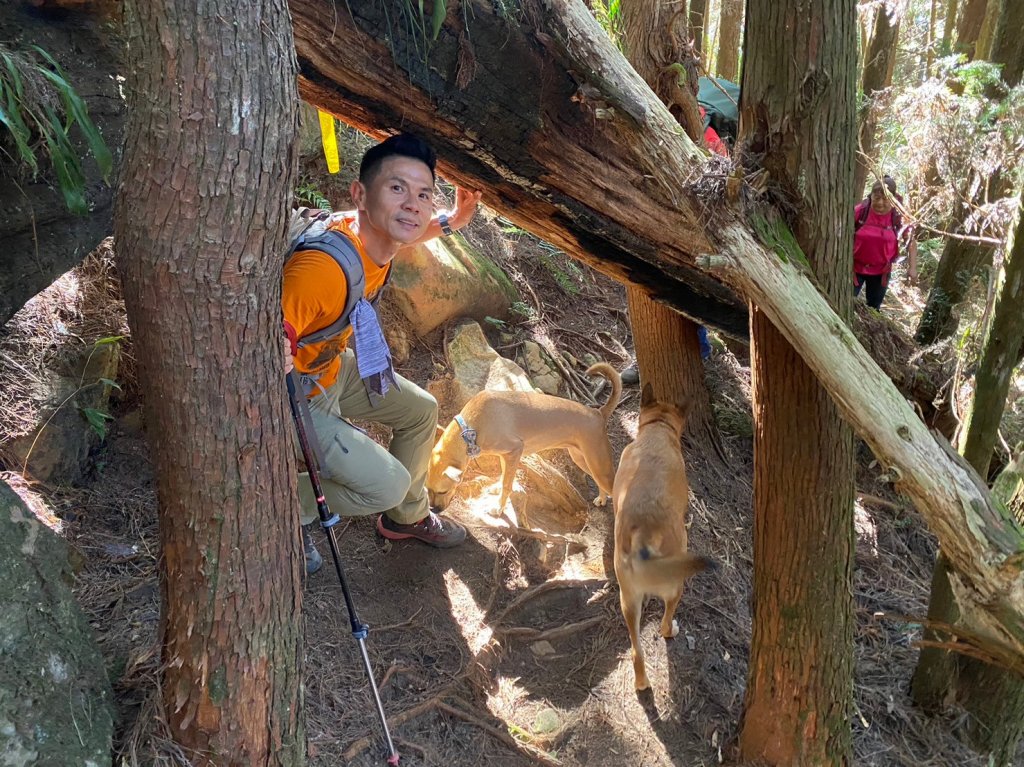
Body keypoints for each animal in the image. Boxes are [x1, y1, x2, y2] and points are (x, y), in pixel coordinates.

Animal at [425, 364, 618, 514]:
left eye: (443, 491)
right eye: (427, 489)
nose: (434, 510)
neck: (471, 427)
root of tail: (599, 413)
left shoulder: (514, 450)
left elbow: (507, 484)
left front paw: (499, 508)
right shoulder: (506, 456)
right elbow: (504, 476)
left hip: (599, 465)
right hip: (583, 460)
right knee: (600, 485)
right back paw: (601, 499)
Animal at [610, 385, 716, 692]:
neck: (657, 429)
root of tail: (644, 534)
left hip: (628, 600)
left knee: (636, 651)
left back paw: (641, 683)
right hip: (675, 586)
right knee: (665, 621)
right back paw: (671, 631)